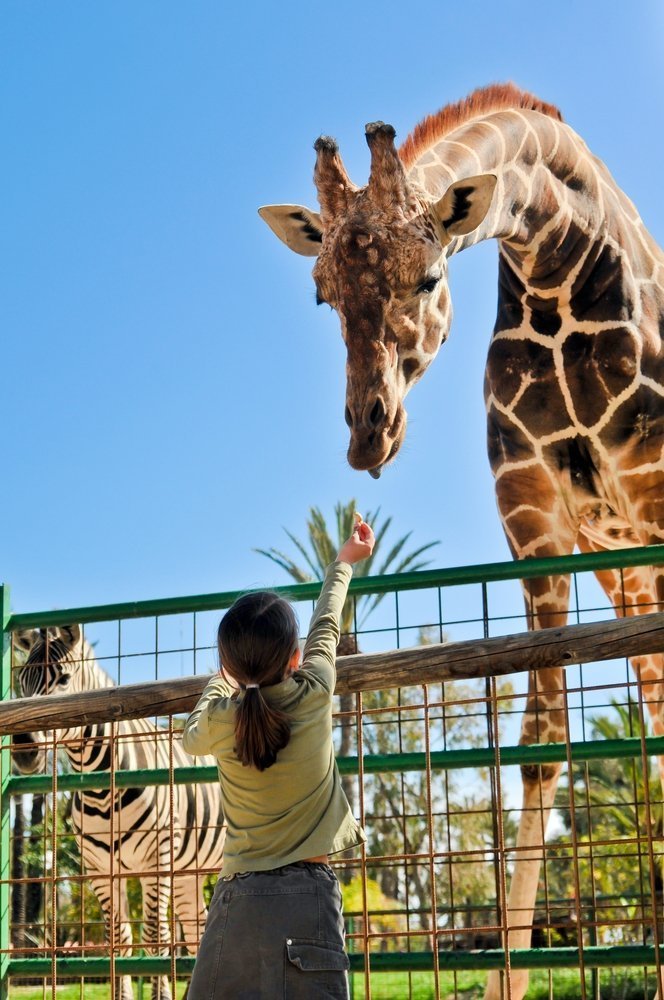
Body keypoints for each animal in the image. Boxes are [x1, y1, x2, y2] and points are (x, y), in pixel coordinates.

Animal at [11, 624, 226, 1000]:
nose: (23, 750)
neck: (101, 788)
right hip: (189, 871)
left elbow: (155, 940)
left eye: (64, 679)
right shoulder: (99, 869)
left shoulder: (157, 858)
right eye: (22, 681)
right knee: (196, 927)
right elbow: (120, 941)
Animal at [260, 82, 664, 996]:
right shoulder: (531, 509)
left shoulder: (654, 483)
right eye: (322, 294)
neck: (558, 269)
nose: (369, 436)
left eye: (431, 274)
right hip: (623, 568)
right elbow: (541, 739)